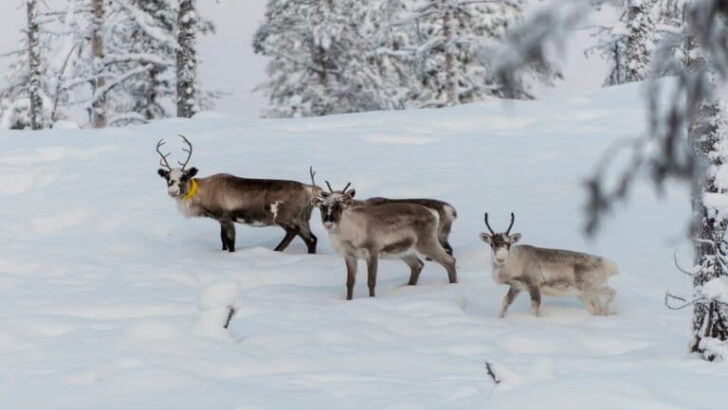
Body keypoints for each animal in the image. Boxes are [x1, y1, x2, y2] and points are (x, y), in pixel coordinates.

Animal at [156, 135, 317, 254]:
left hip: (285, 218)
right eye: (167, 178)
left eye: (184, 177)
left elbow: (230, 243)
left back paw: (276, 250)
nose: (173, 192)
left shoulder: (226, 217)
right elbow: (223, 241)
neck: (203, 193)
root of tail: (308, 190)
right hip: (303, 219)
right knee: (312, 239)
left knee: (295, 232)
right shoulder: (220, 220)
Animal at [309, 168, 457, 300]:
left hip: (427, 242)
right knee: (418, 265)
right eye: (322, 207)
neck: (348, 234)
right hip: (405, 251)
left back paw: (453, 286)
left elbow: (371, 281)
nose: (329, 223)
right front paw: (349, 300)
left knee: (450, 261)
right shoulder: (350, 255)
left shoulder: (372, 250)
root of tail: (433, 213)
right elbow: (350, 283)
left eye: (339, 207)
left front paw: (372, 299)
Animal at [479, 213, 618, 317]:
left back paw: (608, 313)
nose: (500, 259)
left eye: (508, 244)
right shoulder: (516, 286)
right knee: (596, 308)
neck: (514, 261)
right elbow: (505, 302)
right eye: (492, 244)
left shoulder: (534, 284)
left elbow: (535, 307)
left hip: (590, 286)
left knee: (611, 291)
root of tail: (605, 264)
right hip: (584, 293)